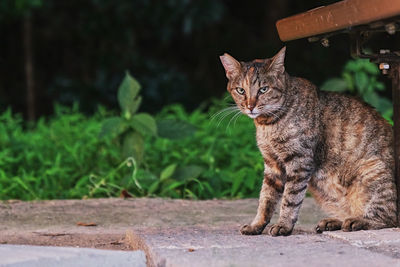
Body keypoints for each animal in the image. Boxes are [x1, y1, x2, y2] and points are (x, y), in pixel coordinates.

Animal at [220, 47, 398, 237]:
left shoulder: (299, 161)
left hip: (373, 170)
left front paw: (283, 225)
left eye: (263, 89)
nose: (250, 106)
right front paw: (257, 225)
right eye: (240, 90)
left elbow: (290, 199)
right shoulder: (272, 165)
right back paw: (334, 221)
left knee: (388, 216)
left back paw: (357, 221)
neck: (267, 124)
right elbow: (265, 199)